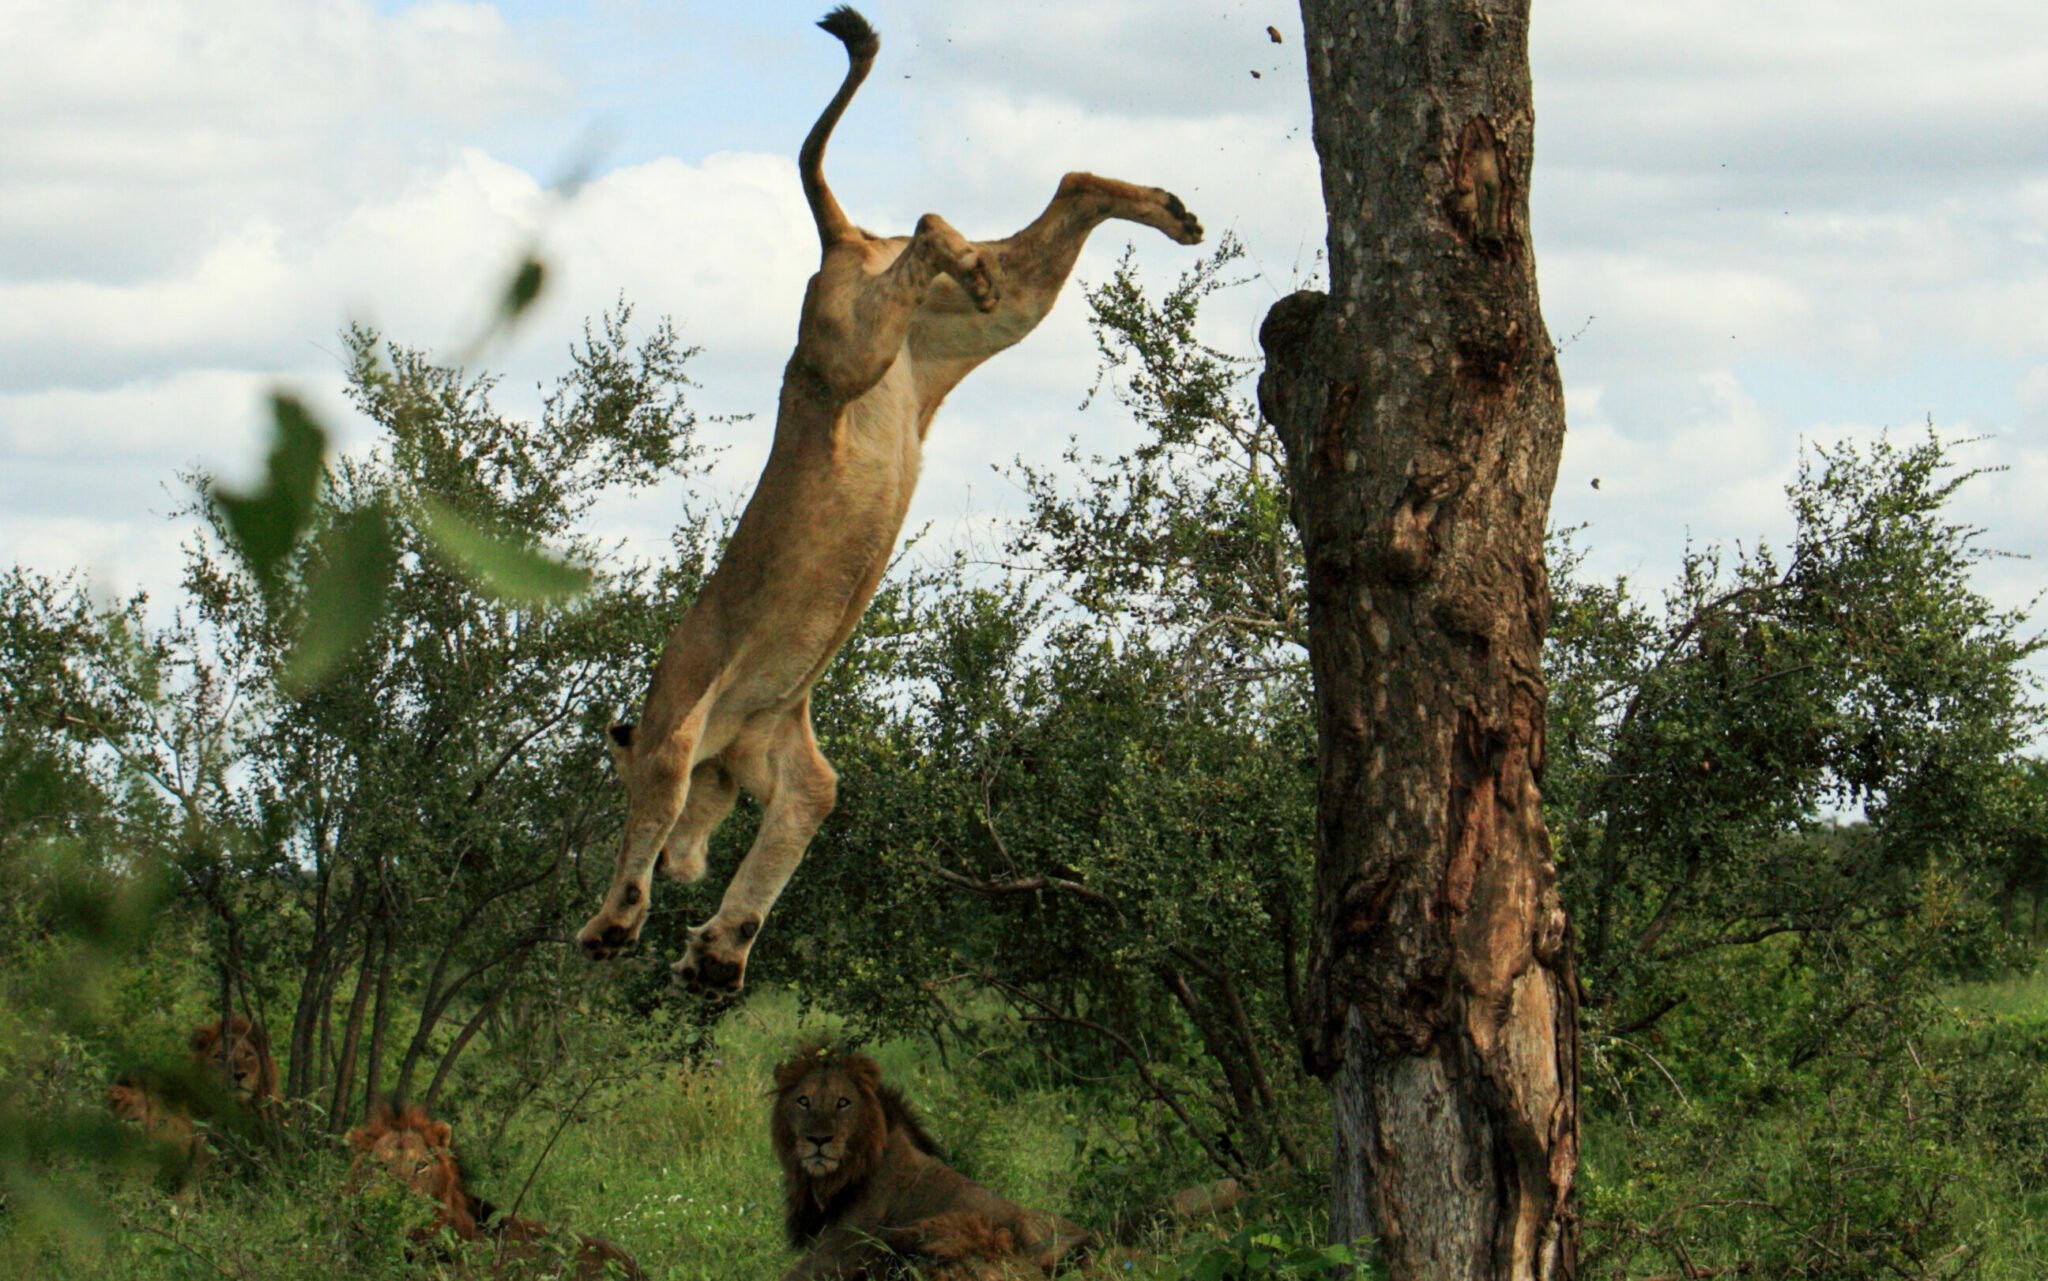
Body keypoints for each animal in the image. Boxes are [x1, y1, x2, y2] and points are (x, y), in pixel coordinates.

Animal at [577, 4, 1196, 996]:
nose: (683, 873)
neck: (735, 740)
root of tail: (844, 241)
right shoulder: (787, 761)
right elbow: (791, 835)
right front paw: (719, 951)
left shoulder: (678, 715)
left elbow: (649, 810)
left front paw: (616, 921)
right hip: (982, 321)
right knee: (1065, 190)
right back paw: (1168, 213)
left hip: (845, 345)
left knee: (929, 221)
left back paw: (969, 249)